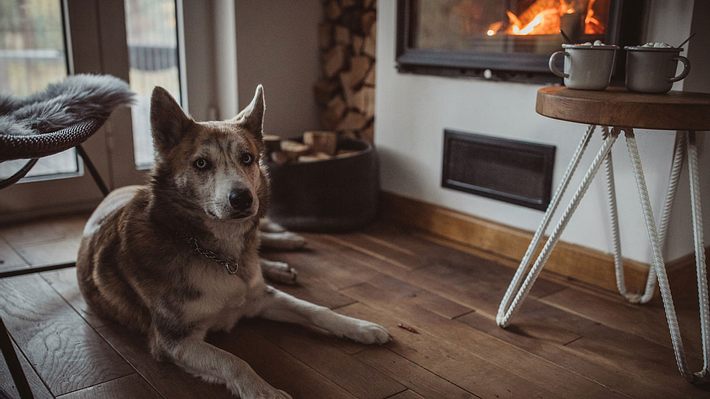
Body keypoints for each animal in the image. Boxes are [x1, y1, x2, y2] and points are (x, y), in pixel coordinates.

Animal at [78, 86, 392, 398]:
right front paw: (265, 392)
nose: (242, 199)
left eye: (247, 158)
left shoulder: (261, 297)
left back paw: (286, 249)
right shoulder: (173, 341)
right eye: (201, 163)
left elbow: (316, 310)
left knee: (261, 246)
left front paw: (359, 327)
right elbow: (233, 361)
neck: (217, 253)